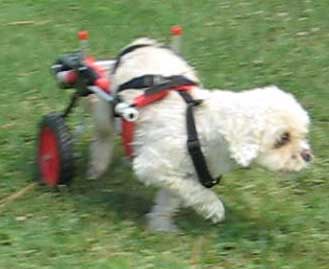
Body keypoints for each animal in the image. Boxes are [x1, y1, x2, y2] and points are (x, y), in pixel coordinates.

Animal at [86, 37, 312, 230]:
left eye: (302, 134)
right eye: (282, 139)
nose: (308, 156)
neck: (199, 128)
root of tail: (141, 43)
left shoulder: (180, 173)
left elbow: (170, 198)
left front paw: (160, 226)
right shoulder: (154, 165)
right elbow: (197, 191)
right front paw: (214, 208)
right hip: (106, 109)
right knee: (103, 136)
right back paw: (96, 167)